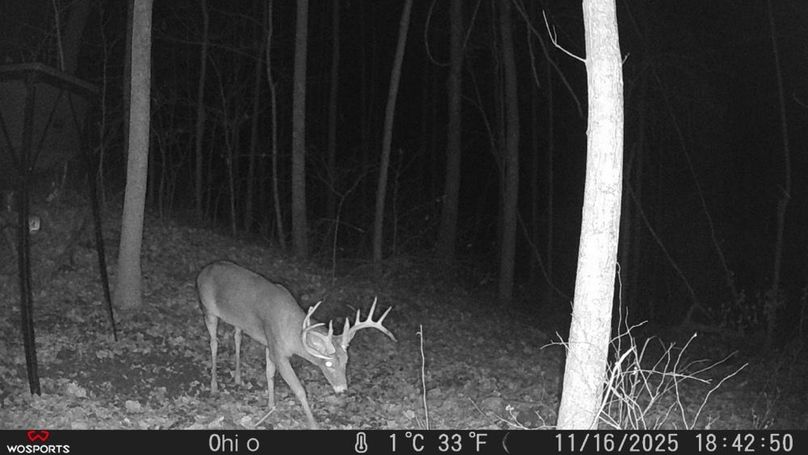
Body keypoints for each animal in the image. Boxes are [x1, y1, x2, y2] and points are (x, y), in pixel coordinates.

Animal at [195, 260, 397, 429]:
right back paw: (214, 387)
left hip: (237, 320)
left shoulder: (270, 344)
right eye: (328, 363)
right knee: (214, 342)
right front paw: (313, 424)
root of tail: (204, 270)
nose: (342, 390)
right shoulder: (278, 351)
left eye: (346, 361)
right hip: (208, 309)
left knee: (237, 336)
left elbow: (269, 374)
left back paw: (237, 378)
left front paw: (271, 405)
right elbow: (299, 389)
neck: (293, 331)